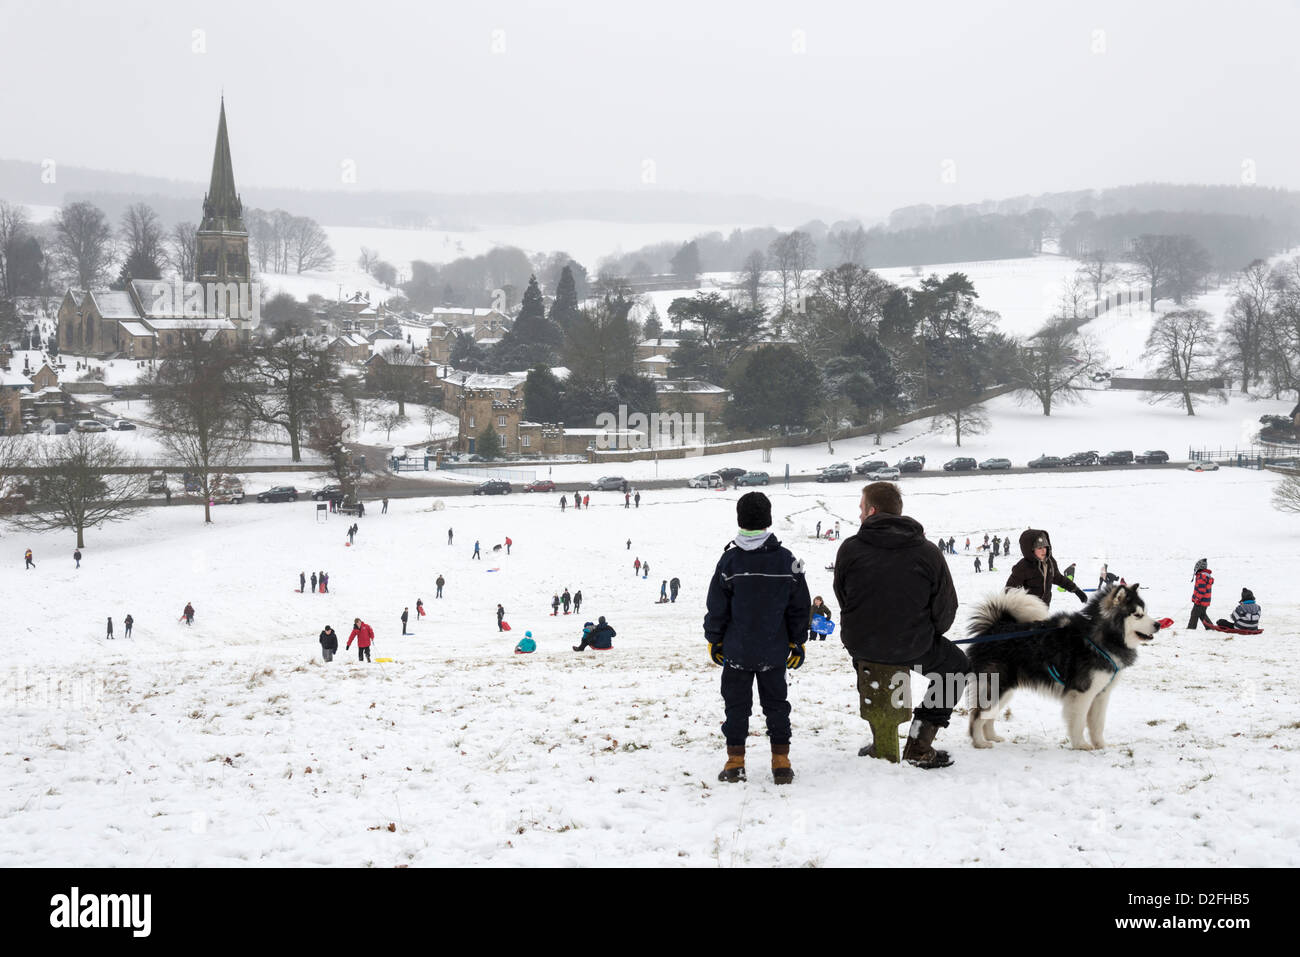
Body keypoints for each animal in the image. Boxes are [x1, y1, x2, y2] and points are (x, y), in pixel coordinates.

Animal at [967, 582, 1159, 748]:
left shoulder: (1101, 694)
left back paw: (992, 737)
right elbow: (1079, 722)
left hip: (1006, 689)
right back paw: (980, 742)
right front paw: (1081, 745)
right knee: (977, 716)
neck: (1102, 638)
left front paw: (1101, 746)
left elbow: (1098, 724)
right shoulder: (1082, 692)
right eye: (1137, 615)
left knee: (988, 716)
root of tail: (995, 627)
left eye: (1145, 612)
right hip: (998, 685)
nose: (1157, 624)